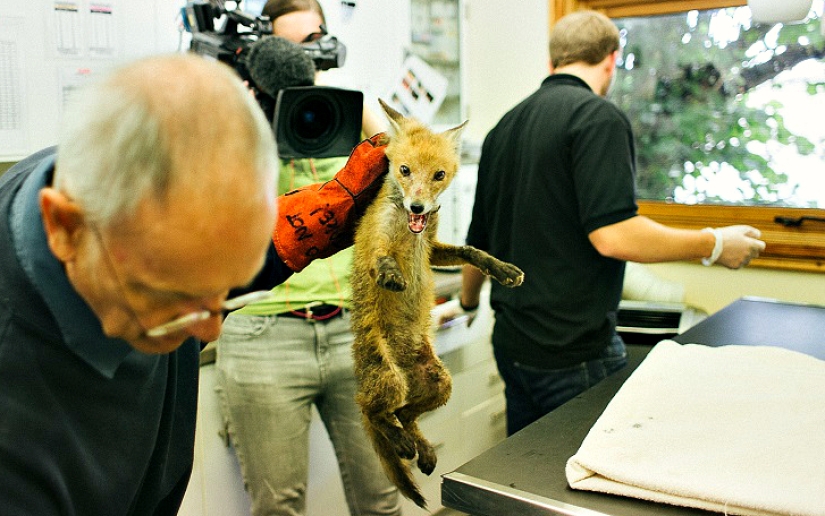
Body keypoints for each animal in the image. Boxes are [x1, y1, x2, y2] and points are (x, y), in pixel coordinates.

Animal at [350, 99, 525, 508]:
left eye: (439, 175)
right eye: (404, 170)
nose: (417, 206)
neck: (410, 230)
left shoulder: (432, 248)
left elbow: (471, 251)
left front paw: (503, 269)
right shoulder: (375, 241)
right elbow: (380, 259)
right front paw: (392, 276)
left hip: (439, 384)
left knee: (405, 415)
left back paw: (421, 447)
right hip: (389, 380)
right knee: (375, 412)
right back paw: (401, 443)